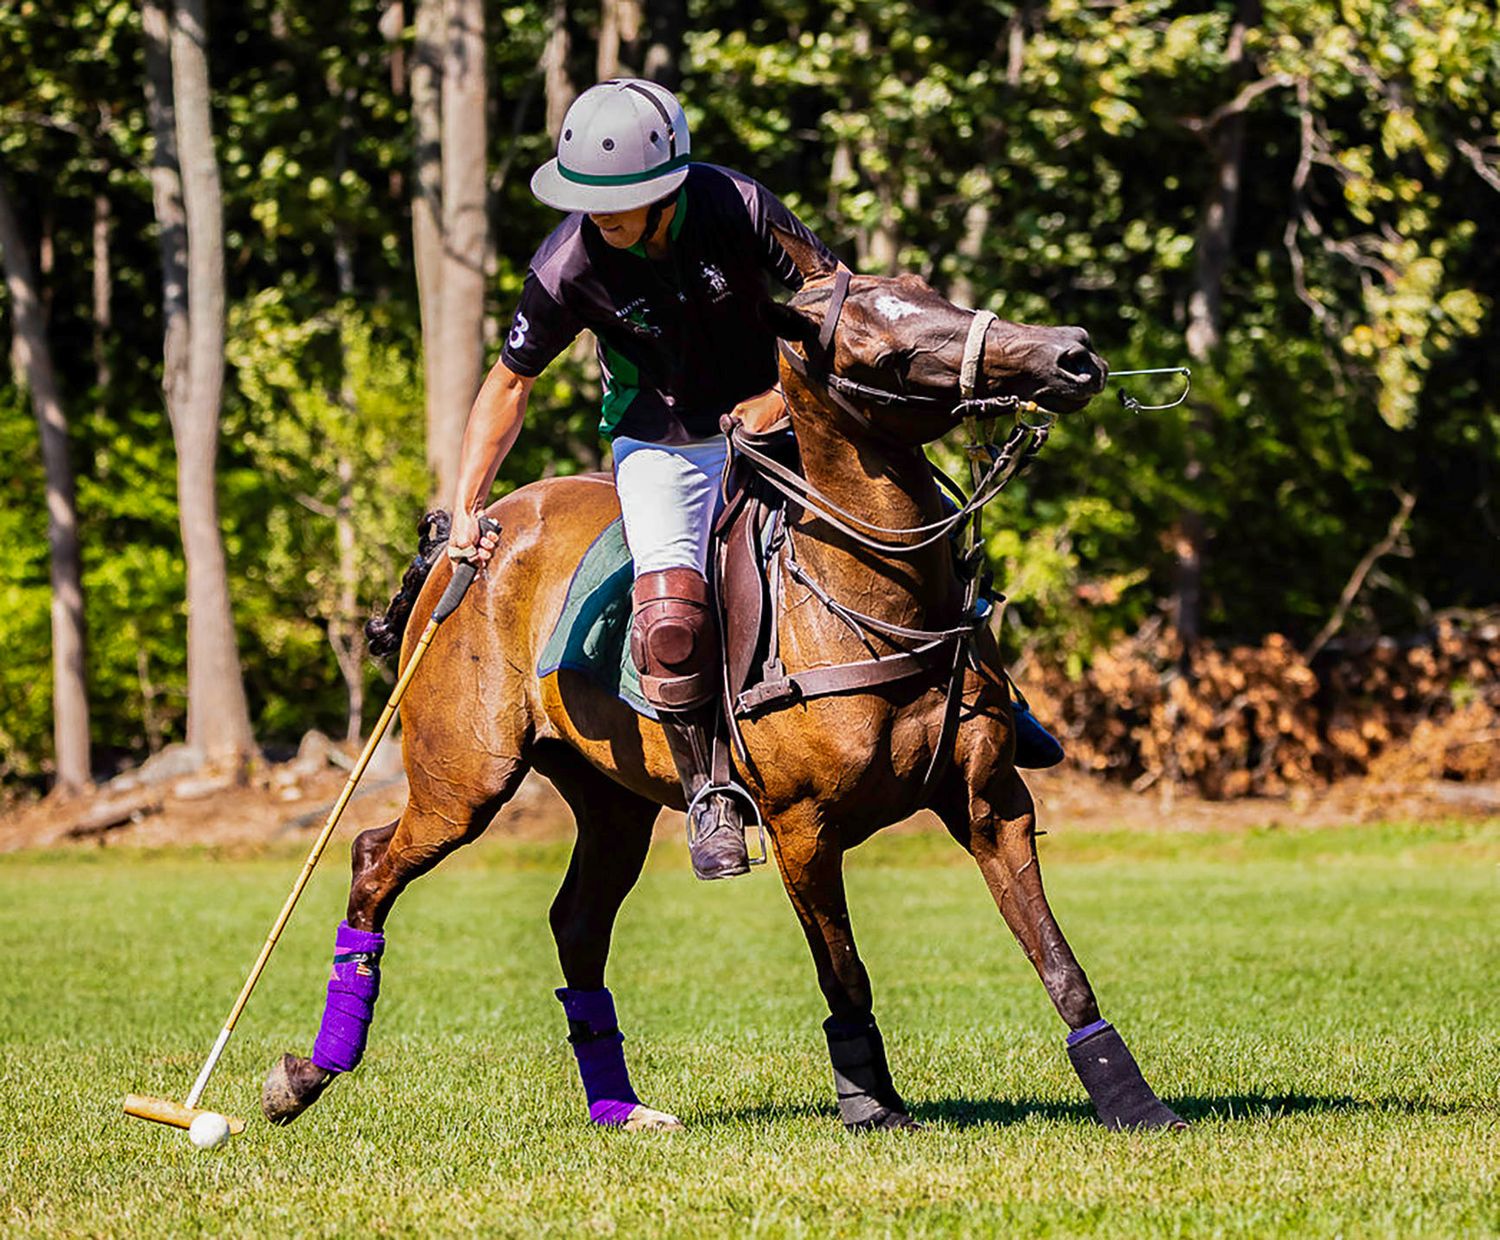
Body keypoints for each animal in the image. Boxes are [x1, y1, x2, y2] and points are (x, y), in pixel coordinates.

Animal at [262, 229, 1185, 1133]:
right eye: (888, 353)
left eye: (936, 294)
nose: (1072, 354)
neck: (870, 599)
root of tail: (475, 532)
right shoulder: (802, 827)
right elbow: (845, 972)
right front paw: (873, 1105)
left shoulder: (991, 801)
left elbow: (1058, 960)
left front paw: (1134, 1102)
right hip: (464, 778)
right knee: (373, 859)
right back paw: (306, 1074)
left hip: (612, 798)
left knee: (575, 921)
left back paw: (618, 1106)